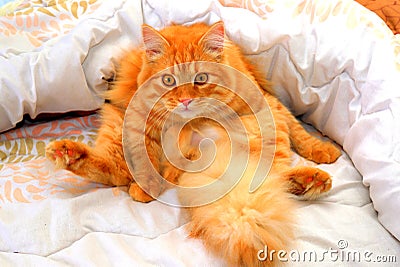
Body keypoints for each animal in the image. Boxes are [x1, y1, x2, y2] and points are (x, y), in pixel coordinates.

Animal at [46, 21, 340, 267]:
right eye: (168, 80)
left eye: (201, 79)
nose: (185, 100)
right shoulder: (137, 120)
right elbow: (144, 157)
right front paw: (147, 186)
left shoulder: (265, 109)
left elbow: (293, 135)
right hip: (115, 124)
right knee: (115, 170)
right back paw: (67, 152)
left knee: (275, 176)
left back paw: (314, 176)